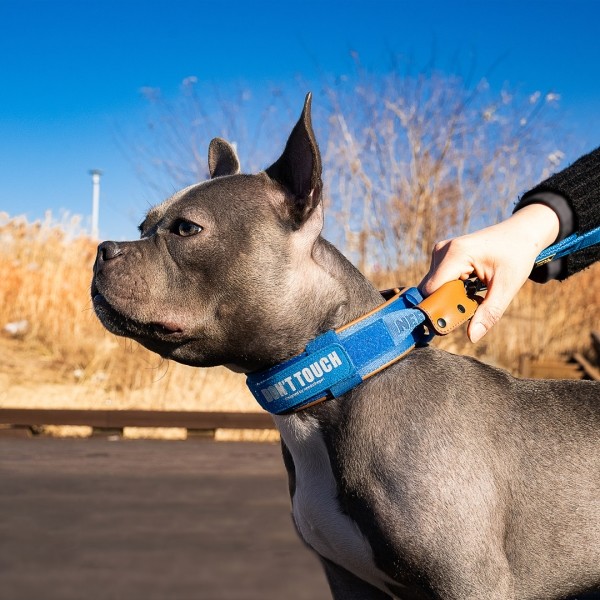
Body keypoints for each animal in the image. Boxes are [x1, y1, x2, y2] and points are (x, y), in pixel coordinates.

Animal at [92, 94, 600, 600]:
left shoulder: (470, 584)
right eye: (142, 225)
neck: (337, 378)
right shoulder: (349, 581)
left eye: (186, 229)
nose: (102, 249)